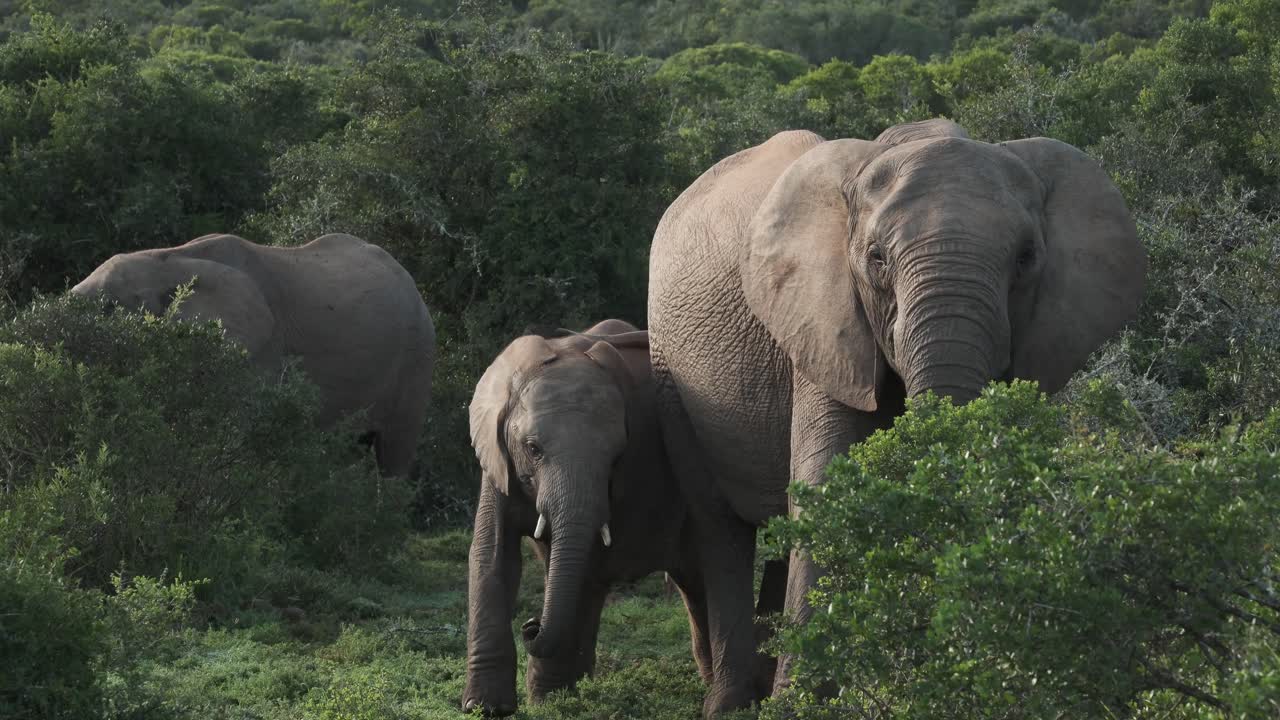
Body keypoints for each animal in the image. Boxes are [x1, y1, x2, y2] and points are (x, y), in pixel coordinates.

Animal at [462, 319, 786, 715]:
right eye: (532, 449)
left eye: (615, 457)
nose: (530, 624)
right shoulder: (496, 458)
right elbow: (493, 554)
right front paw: (488, 707)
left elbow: (582, 565)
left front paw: (545, 699)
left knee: (696, 579)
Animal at [647, 118, 1146, 715]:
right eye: (877, 259)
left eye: (1026, 258)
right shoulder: (822, 324)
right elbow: (827, 484)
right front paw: (805, 705)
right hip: (670, 377)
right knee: (719, 530)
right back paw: (730, 703)